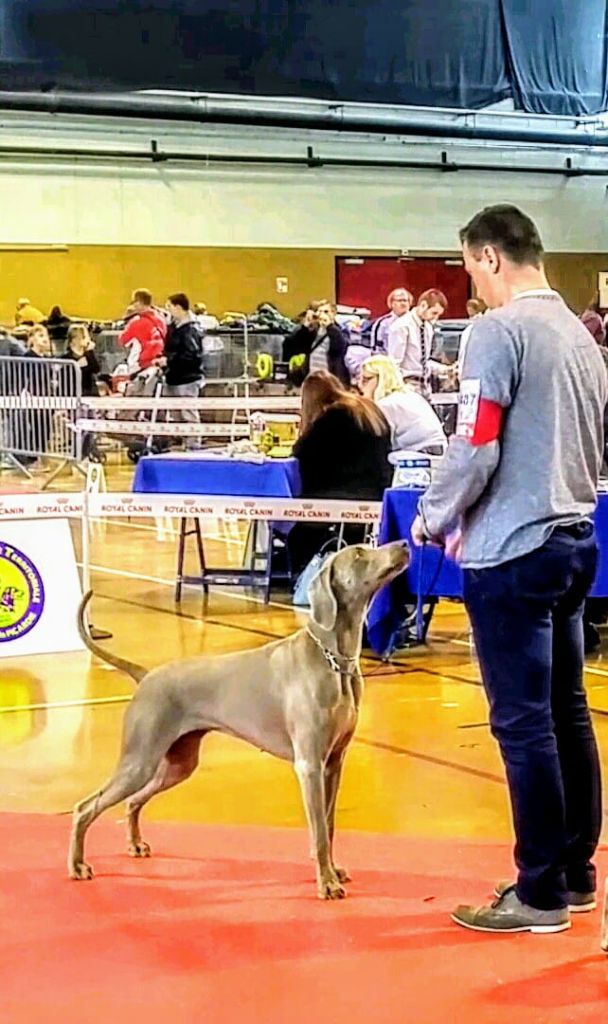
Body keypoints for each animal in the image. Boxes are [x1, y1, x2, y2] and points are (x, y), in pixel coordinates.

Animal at [68, 540, 409, 899]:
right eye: (358, 554)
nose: (403, 544)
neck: (333, 659)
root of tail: (146, 676)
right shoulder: (310, 765)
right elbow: (318, 831)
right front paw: (326, 883)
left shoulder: (333, 763)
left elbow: (328, 826)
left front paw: (333, 870)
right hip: (140, 759)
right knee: (85, 807)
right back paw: (77, 865)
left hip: (177, 764)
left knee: (134, 800)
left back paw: (134, 844)